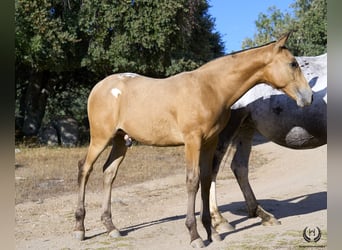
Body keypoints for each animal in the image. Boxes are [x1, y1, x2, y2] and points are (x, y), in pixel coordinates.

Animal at [74, 33, 312, 248]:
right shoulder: (192, 142)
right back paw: (80, 228)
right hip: (101, 138)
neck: (210, 88)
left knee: (109, 172)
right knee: (85, 169)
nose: (308, 96)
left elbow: (206, 179)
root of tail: (99, 86)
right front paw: (195, 235)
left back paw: (111, 227)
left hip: (120, 140)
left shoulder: (209, 142)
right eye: (293, 63)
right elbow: (192, 181)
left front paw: (211, 231)